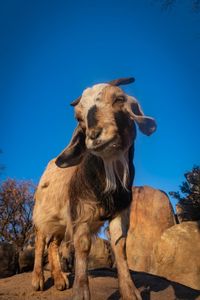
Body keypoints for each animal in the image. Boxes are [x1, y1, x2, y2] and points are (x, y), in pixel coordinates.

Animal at [32, 78, 156, 300]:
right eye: (79, 117)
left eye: (119, 99)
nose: (94, 135)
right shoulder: (80, 214)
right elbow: (83, 247)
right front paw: (81, 292)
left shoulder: (120, 213)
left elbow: (120, 246)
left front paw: (130, 291)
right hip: (41, 214)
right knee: (40, 241)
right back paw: (38, 279)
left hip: (60, 222)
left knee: (53, 243)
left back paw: (60, 279)